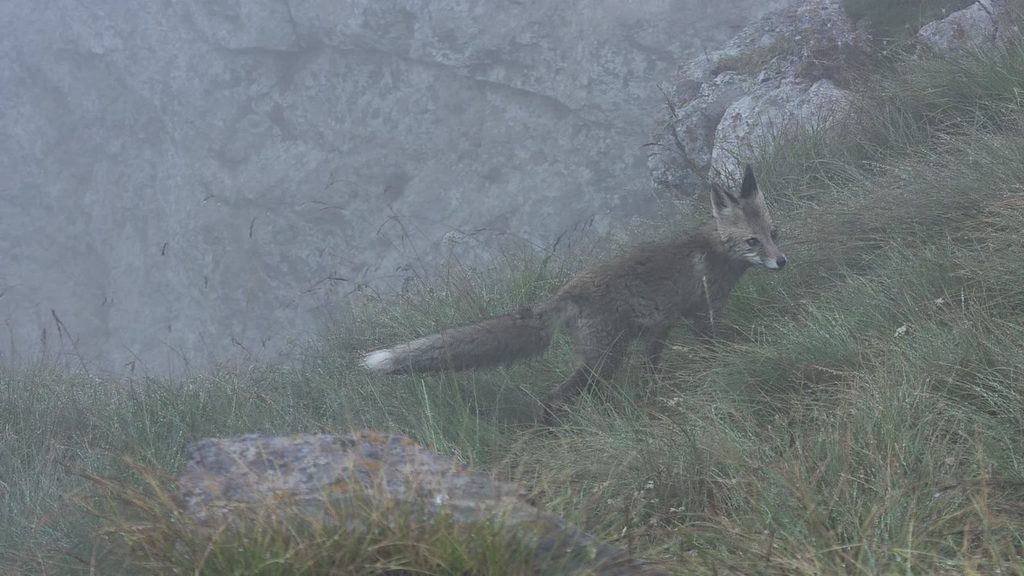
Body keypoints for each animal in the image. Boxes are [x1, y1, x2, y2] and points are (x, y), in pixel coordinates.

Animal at [362, 164, 786, 425]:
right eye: (752, 241)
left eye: (773, 233)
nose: (781, 262)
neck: (717, 252)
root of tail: (565, 292)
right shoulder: (704, 312)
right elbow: (715, 346)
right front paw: (727, 361)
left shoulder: (660, 327)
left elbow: (652, 367)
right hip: (603, 361)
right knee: (554, 395)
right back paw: (552, 428)